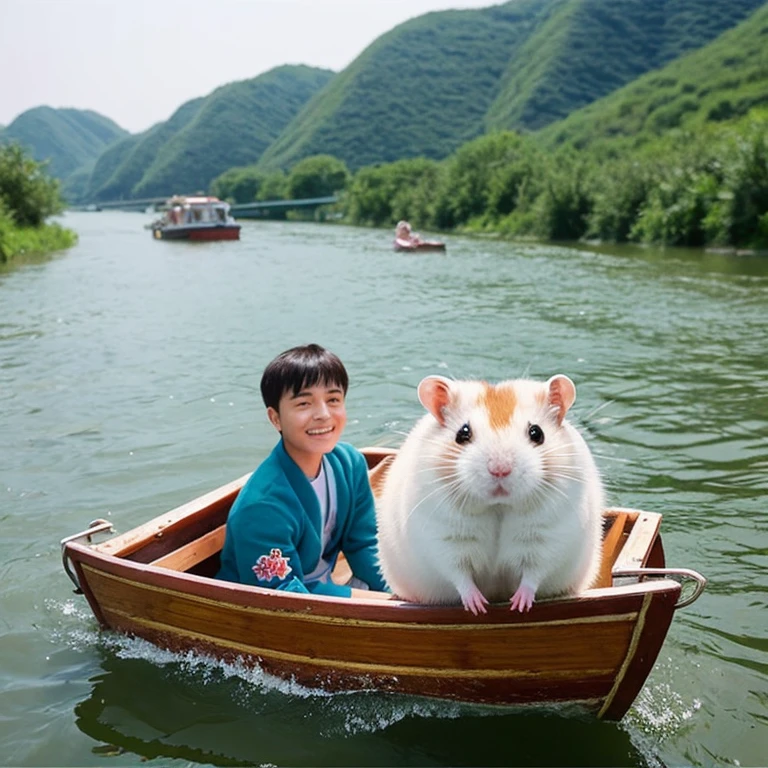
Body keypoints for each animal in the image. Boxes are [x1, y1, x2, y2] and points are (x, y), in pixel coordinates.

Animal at [376, 376, 604, 616]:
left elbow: (533, 574)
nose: (500, 469)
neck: (498, 506)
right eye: (462, 433)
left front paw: (518, 605)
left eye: (537, 433)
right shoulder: (445, 542)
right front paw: (478, 606)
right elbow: (460, 575)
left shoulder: (545, 541)